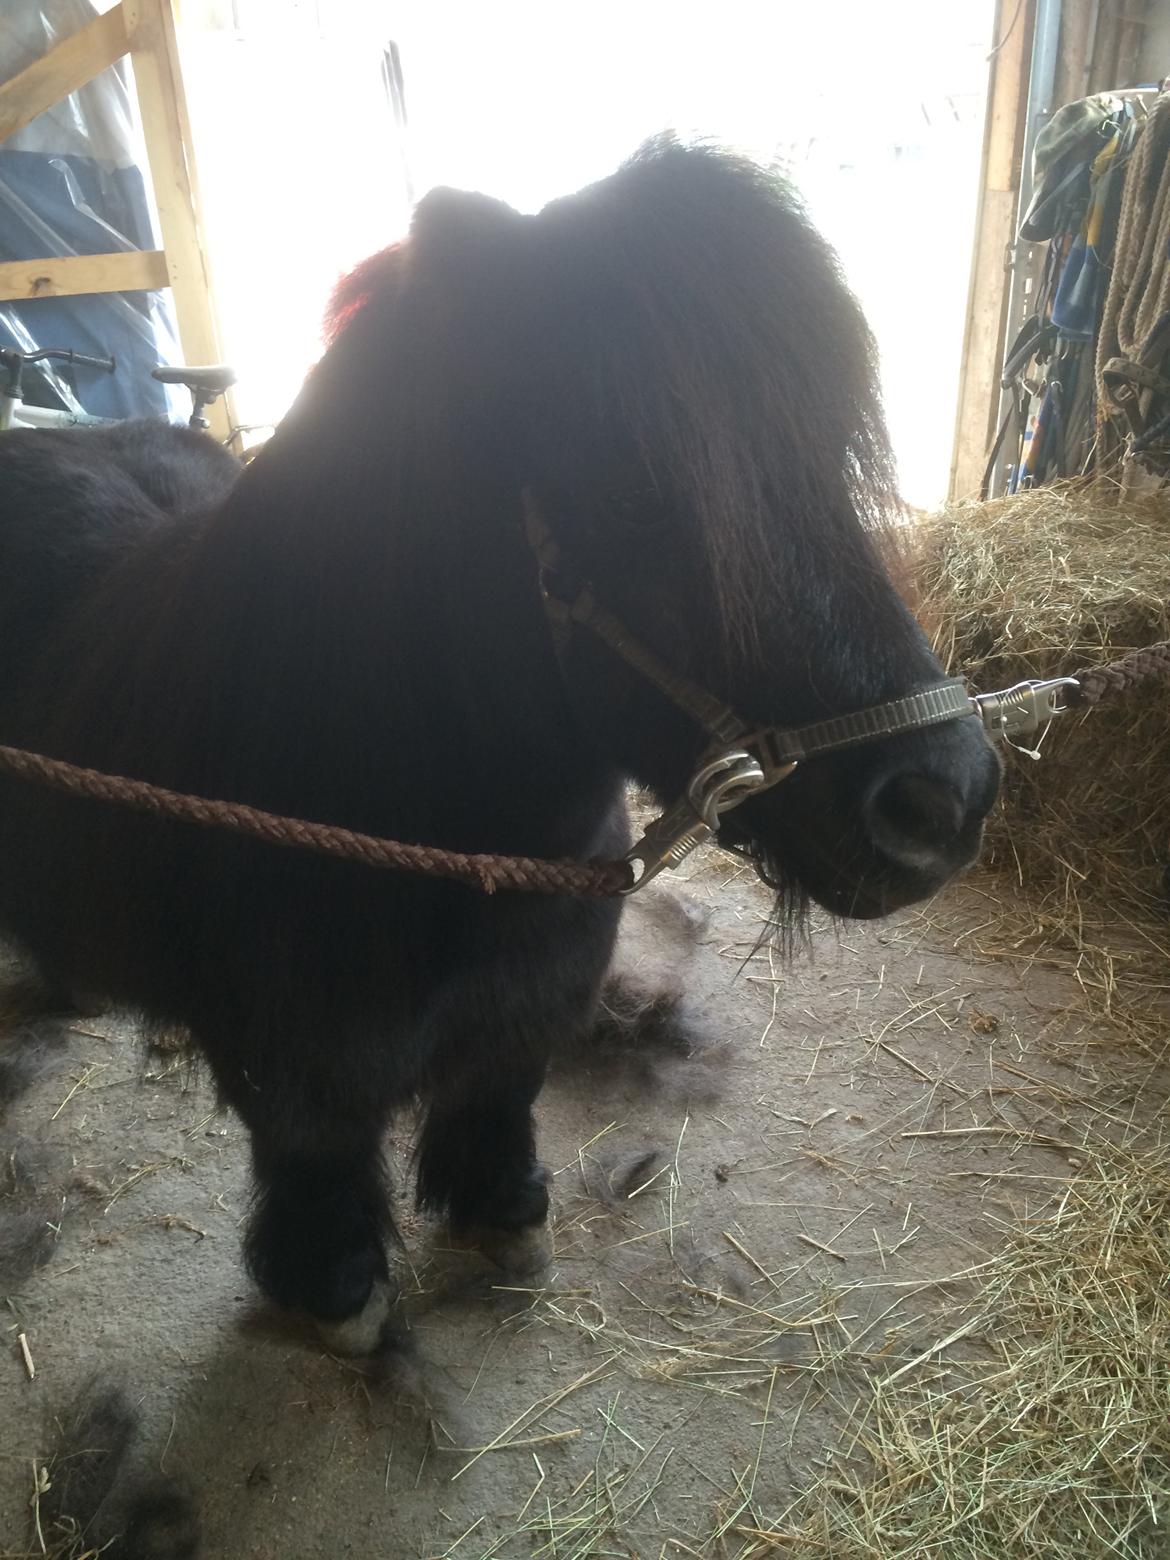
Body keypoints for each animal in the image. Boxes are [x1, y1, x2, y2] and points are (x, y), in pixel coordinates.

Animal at [0, 139, 1000, 1355]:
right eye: (634, 487)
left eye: (825, 458)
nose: (947, 802)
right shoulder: (298, 1067)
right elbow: (319, 1157)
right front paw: (334, 1284)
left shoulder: (531, 1009)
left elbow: (495, 1095)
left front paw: (499, 1209)